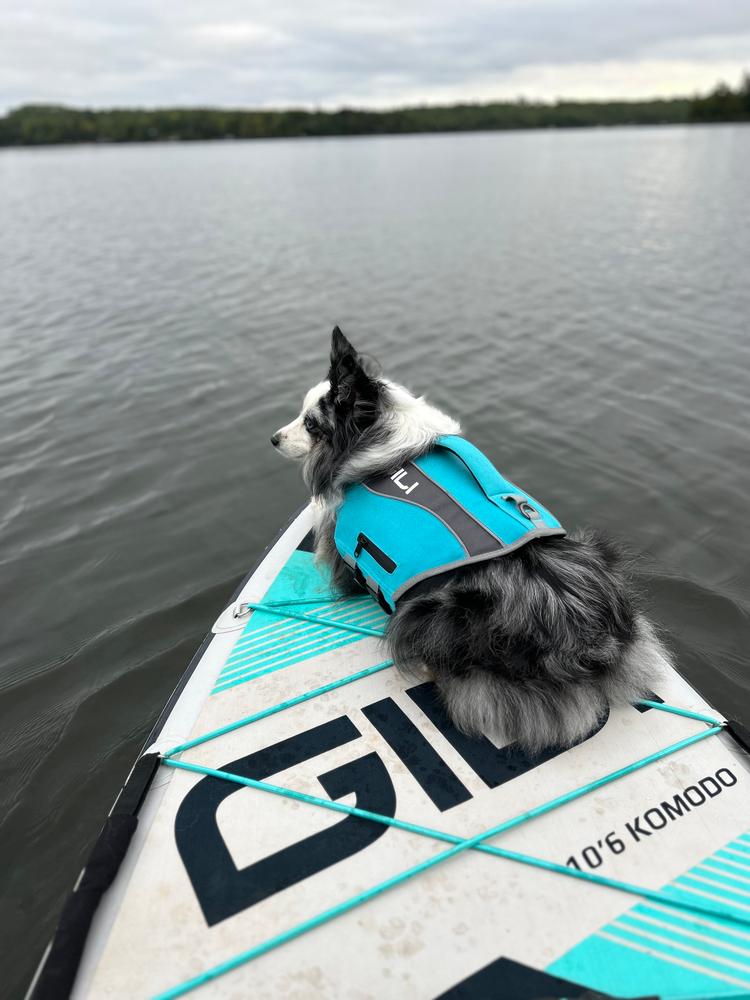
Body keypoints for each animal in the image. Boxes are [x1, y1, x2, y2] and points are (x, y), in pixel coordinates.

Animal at [274, 326, 672, 752]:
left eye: (311, 424)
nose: (274, 439)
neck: (375, 433)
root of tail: (591, 641)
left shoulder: (340, 539)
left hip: (432, 614)